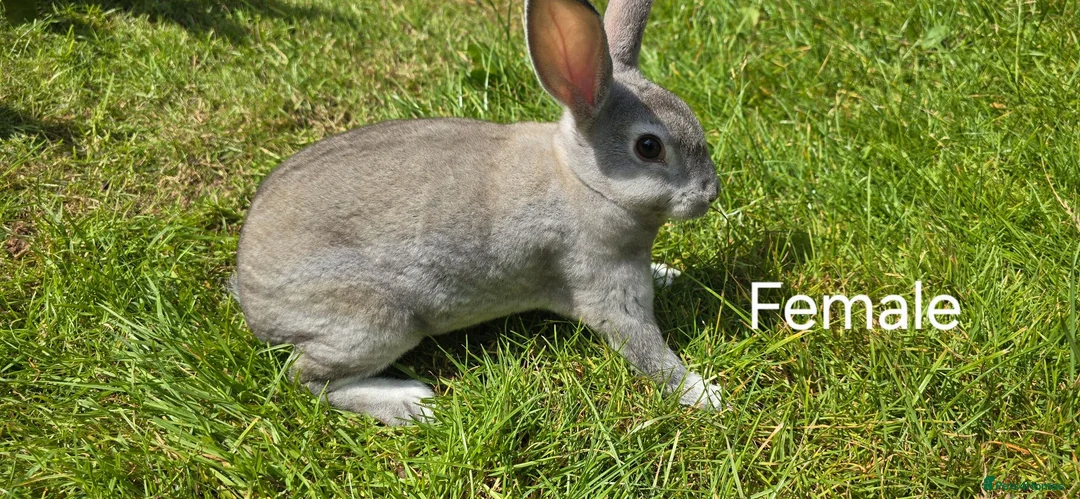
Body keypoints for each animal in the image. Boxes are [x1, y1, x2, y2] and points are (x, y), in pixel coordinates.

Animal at [233, 0, 722, 425]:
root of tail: (255, 305)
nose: (711, 193)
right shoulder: (605, 288)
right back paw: (412, 403)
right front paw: (704, 393)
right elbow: (648, 352)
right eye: (649, 147)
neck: (585, 182)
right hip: (376, 323)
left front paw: (668, 273)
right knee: (307, 379)